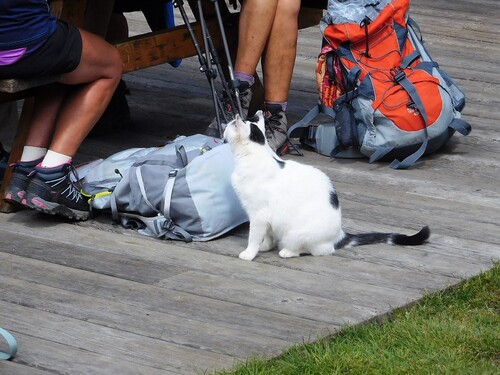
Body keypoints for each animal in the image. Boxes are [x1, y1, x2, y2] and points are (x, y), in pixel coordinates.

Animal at [224, 111, 430, 262]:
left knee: (317, 250)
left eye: (230, 124)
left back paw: (288, 252)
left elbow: (254, 236)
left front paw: (249, 253)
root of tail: (339, 234)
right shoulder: (267, 219)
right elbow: (268, 235)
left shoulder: (258, 214)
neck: (254, 155)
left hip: (296, 233)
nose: (226, 123)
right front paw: (265, 246)